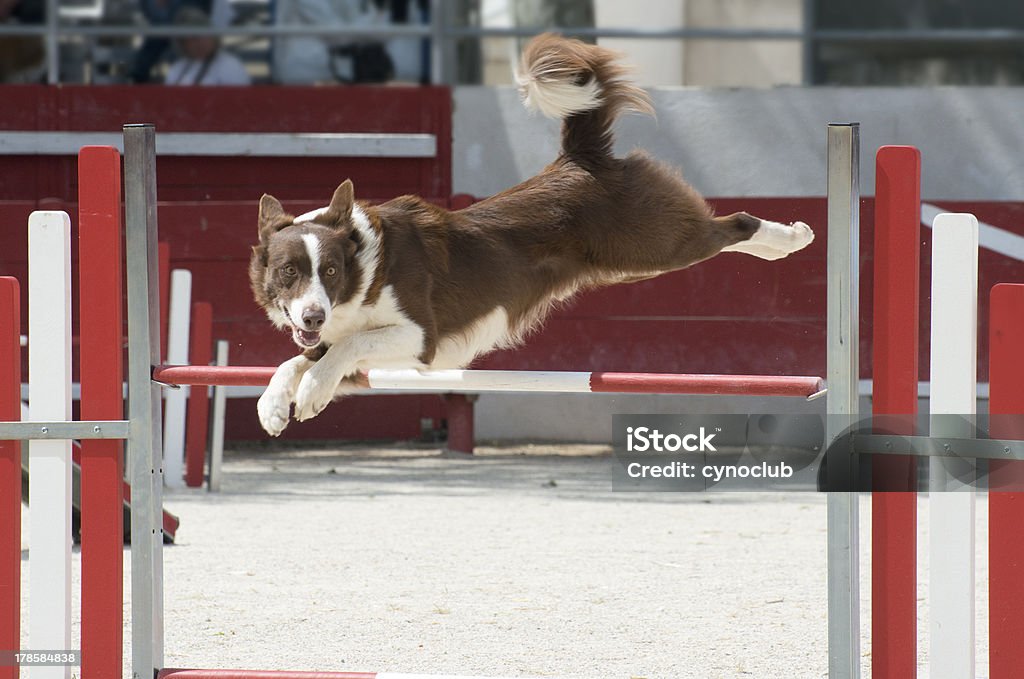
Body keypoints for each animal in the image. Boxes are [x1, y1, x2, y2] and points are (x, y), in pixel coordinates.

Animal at [249, 34, 815, 436]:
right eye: (288, 272)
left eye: (329, 270)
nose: (312, 315)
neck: (366, 267)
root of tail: (578, 158)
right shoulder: (356, 347)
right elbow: (296, 360)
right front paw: (275, 404)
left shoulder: (421, 338)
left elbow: (344, 348)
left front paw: (312, 392)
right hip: (634, 260)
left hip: (654, 244)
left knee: (733, 225)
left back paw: (790, 238)